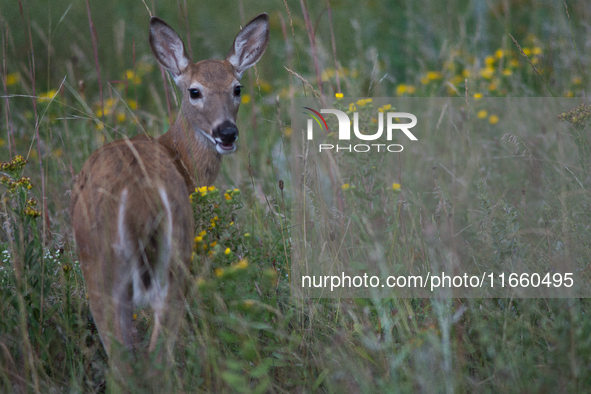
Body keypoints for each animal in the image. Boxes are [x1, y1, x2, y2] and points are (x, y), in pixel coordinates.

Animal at [71, 13, 270, 366]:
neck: (178, 156)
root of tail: (140, 200)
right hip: (170, 253)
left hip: (109, 263)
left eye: (237, 88)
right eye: (194, 91)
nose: (227, 132)